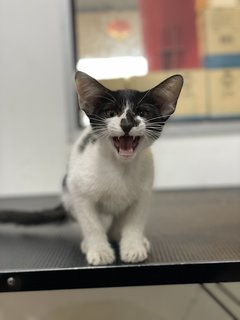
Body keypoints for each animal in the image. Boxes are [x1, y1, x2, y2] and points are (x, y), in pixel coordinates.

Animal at [0, 71, 184, 266]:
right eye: (111, 112)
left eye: (142, 113)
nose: (126, 124)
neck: (119, 166)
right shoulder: (80, 193)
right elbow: (91, 224)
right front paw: (99, 250)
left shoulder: (143, 194)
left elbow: (135, 222)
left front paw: (133, 246)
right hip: (69, 194)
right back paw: (90, 243)